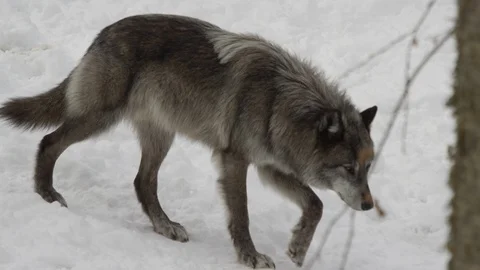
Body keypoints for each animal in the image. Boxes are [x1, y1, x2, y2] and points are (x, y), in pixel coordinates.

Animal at [0, 14, 376, 268]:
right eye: (348, 168)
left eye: (368, 167)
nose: (370, 206)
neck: (278, 100)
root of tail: (102, 33)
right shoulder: (234, 159)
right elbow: (242, 215)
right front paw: (250, 256)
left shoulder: (270, 168)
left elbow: (316, 204)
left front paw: (298, 248)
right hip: (99, 119)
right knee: (49, 142)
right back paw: (47, 195)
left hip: (160, 136)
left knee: (142, 182)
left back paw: (165, 226)